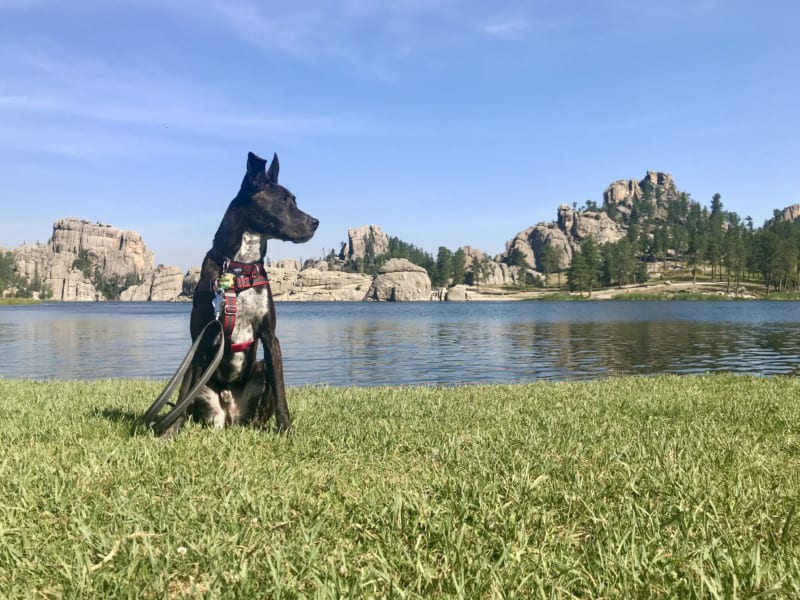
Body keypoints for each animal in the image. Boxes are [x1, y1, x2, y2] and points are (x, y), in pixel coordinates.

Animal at [163, 150, 318, 434]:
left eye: (294, 200)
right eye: (282, 200)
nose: (315, 222)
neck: (238, 267)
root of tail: (230, 415)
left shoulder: (270, 337)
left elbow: (281, 391)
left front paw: (286, 429)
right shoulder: (200, 339)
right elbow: (182, 394)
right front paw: (170, 431)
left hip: (260, 373)